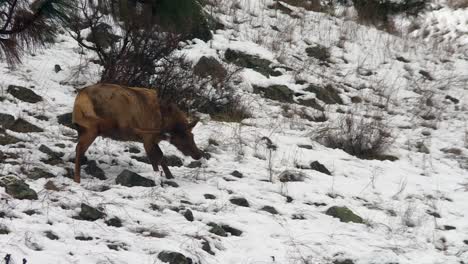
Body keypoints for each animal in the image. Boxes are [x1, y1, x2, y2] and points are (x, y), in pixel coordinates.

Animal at [72, 83, 203, 183]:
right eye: (186, 136)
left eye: (193, 135)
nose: (198, 154)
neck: (165, 121)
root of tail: (79, 97)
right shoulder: (147, 138)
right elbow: (156, 159)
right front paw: (158, 179)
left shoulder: (152, 139)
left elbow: (161, 157)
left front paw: (170, 177)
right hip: (92, 127)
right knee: (79, 148)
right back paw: (77, 179)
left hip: (82, 128)